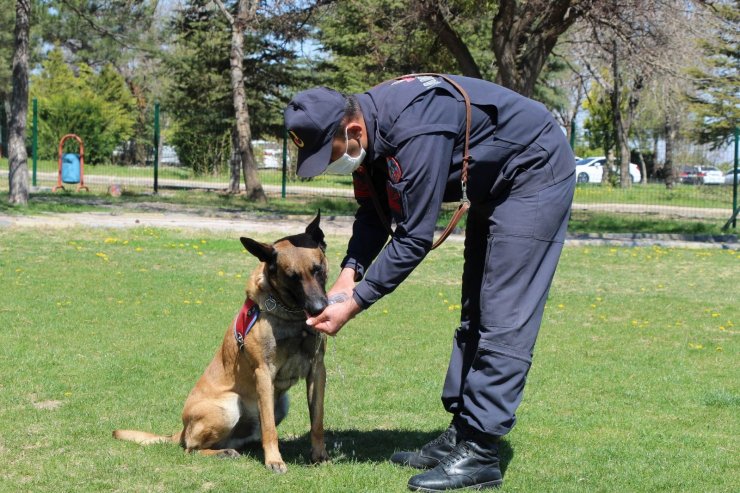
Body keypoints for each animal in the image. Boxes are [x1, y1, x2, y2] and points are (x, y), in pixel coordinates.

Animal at [115, 212, 330, 472]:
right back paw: (223, 452)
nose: (319, 308)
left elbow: (317, 421)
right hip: (228, 405)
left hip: (279, 403)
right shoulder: (263, 373)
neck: (291, 316)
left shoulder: (317, 369)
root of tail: (182, 430)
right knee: (191, 449)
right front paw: (274, 460)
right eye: (292, 278)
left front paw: (319, 455)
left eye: (317, 269)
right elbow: (269, 428)